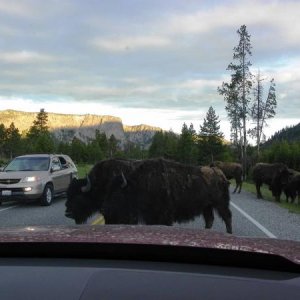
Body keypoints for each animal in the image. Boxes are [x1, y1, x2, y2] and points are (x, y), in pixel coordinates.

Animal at [65, 158, 232, 233]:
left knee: (227, 217)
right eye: (68, 194)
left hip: (221, 203)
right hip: (207, 206)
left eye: (77, 196)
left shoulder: (162, 217)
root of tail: (220, 174)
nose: (67, 213)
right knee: (210, 219)